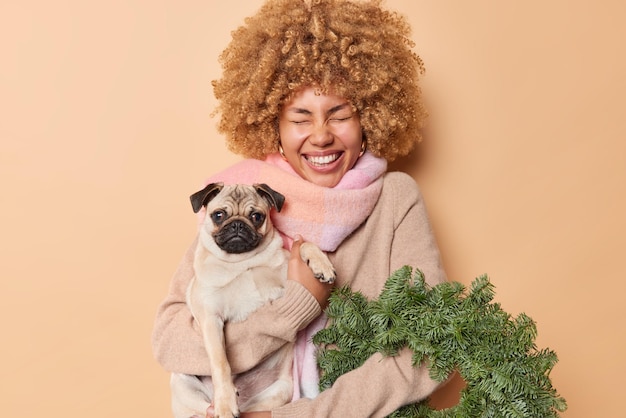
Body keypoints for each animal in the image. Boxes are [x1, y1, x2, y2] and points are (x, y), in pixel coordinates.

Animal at [167, 183, 332, 418]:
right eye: (219, 215)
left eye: (256, 216)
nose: (237, 224)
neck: (241, 262)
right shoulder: (211, 319)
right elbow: (221, 363)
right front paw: (225, 404)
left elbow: (303, 245)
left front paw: (321, 264)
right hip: (182, 381)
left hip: (280, 392)